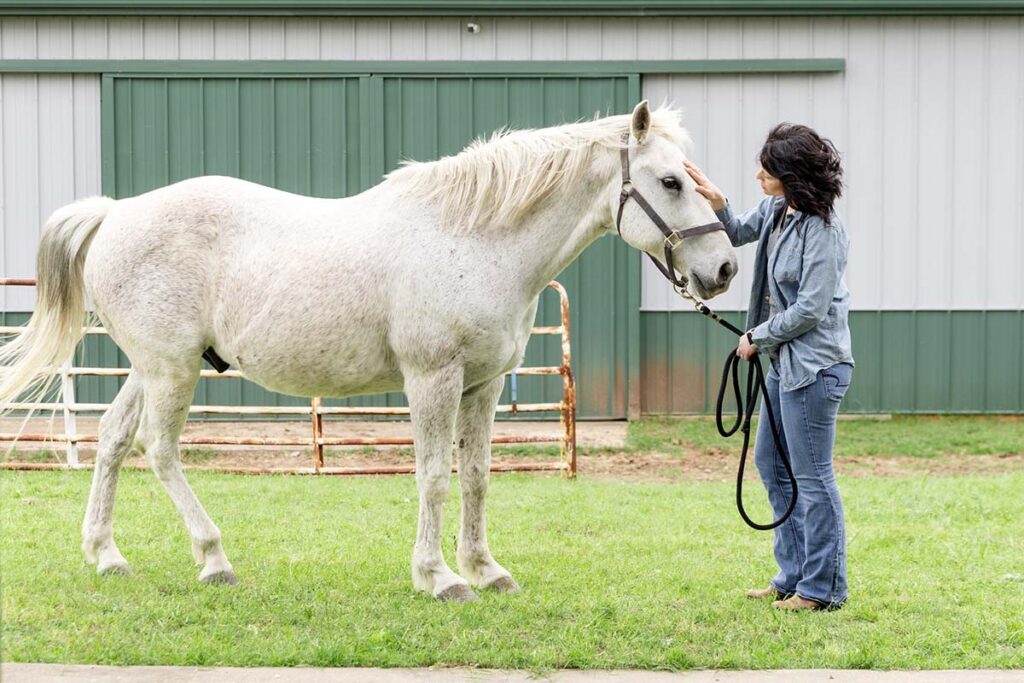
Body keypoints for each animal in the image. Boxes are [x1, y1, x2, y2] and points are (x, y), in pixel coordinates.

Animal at [0, 98, 737, 602]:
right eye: (671, 181)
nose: (725, 268)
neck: (472, 239)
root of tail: (115, 213)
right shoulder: (432, 379)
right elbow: (433, 476)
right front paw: (439, 577)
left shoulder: (484, 385)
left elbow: (476, 477)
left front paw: (486, 569)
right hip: (172, 370)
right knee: (158, 450)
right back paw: (213, 557)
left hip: (152, 367)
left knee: (112, 438)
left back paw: (107, 554)